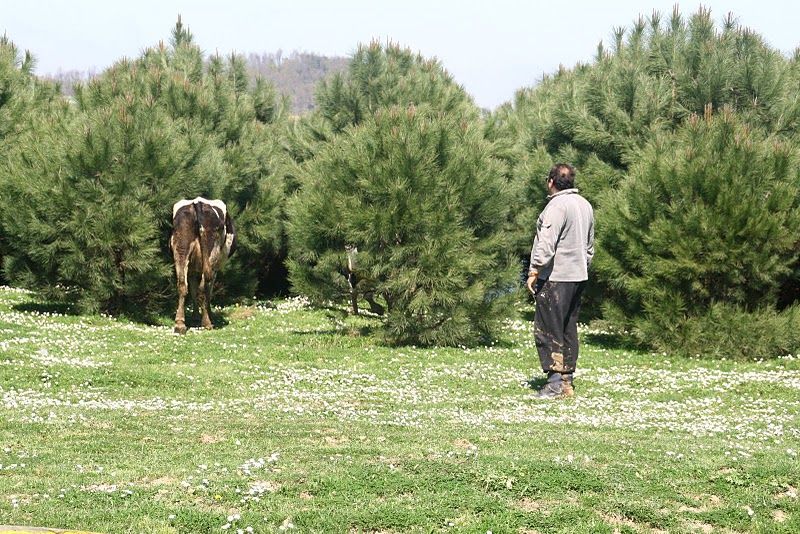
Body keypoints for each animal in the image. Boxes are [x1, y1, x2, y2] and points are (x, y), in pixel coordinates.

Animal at [170, 198, 236, 336]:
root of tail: (197, 203)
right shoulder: (215, 268)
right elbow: (207, 290)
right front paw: (207, 314)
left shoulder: (192, 270)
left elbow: (193, 289)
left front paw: (195, 316)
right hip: (210, 255)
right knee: (204, 288)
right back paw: (207, 323)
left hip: (181, 250)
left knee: (182, 285)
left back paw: (180, 324)